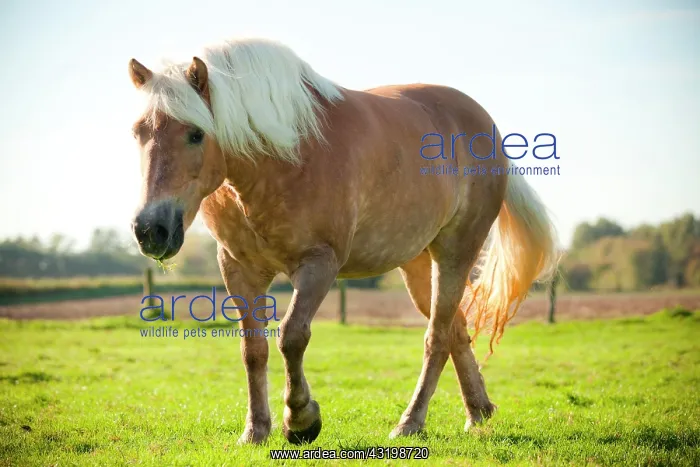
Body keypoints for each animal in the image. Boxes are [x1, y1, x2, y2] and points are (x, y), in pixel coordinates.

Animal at [128, 37, 558, 445]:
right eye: (139, 132)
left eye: (196, 134)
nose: (151, 229)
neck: (283, 155)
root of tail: (486, 125)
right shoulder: (239, 268)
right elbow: (253, 349)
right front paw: (256, 431)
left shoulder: (319, 264)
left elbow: (291, 337)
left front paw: (301, 420)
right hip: (418, 263)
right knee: (455, 328)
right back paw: (478, 412)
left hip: (455, 252)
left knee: (436, 337)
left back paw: (410, 423)